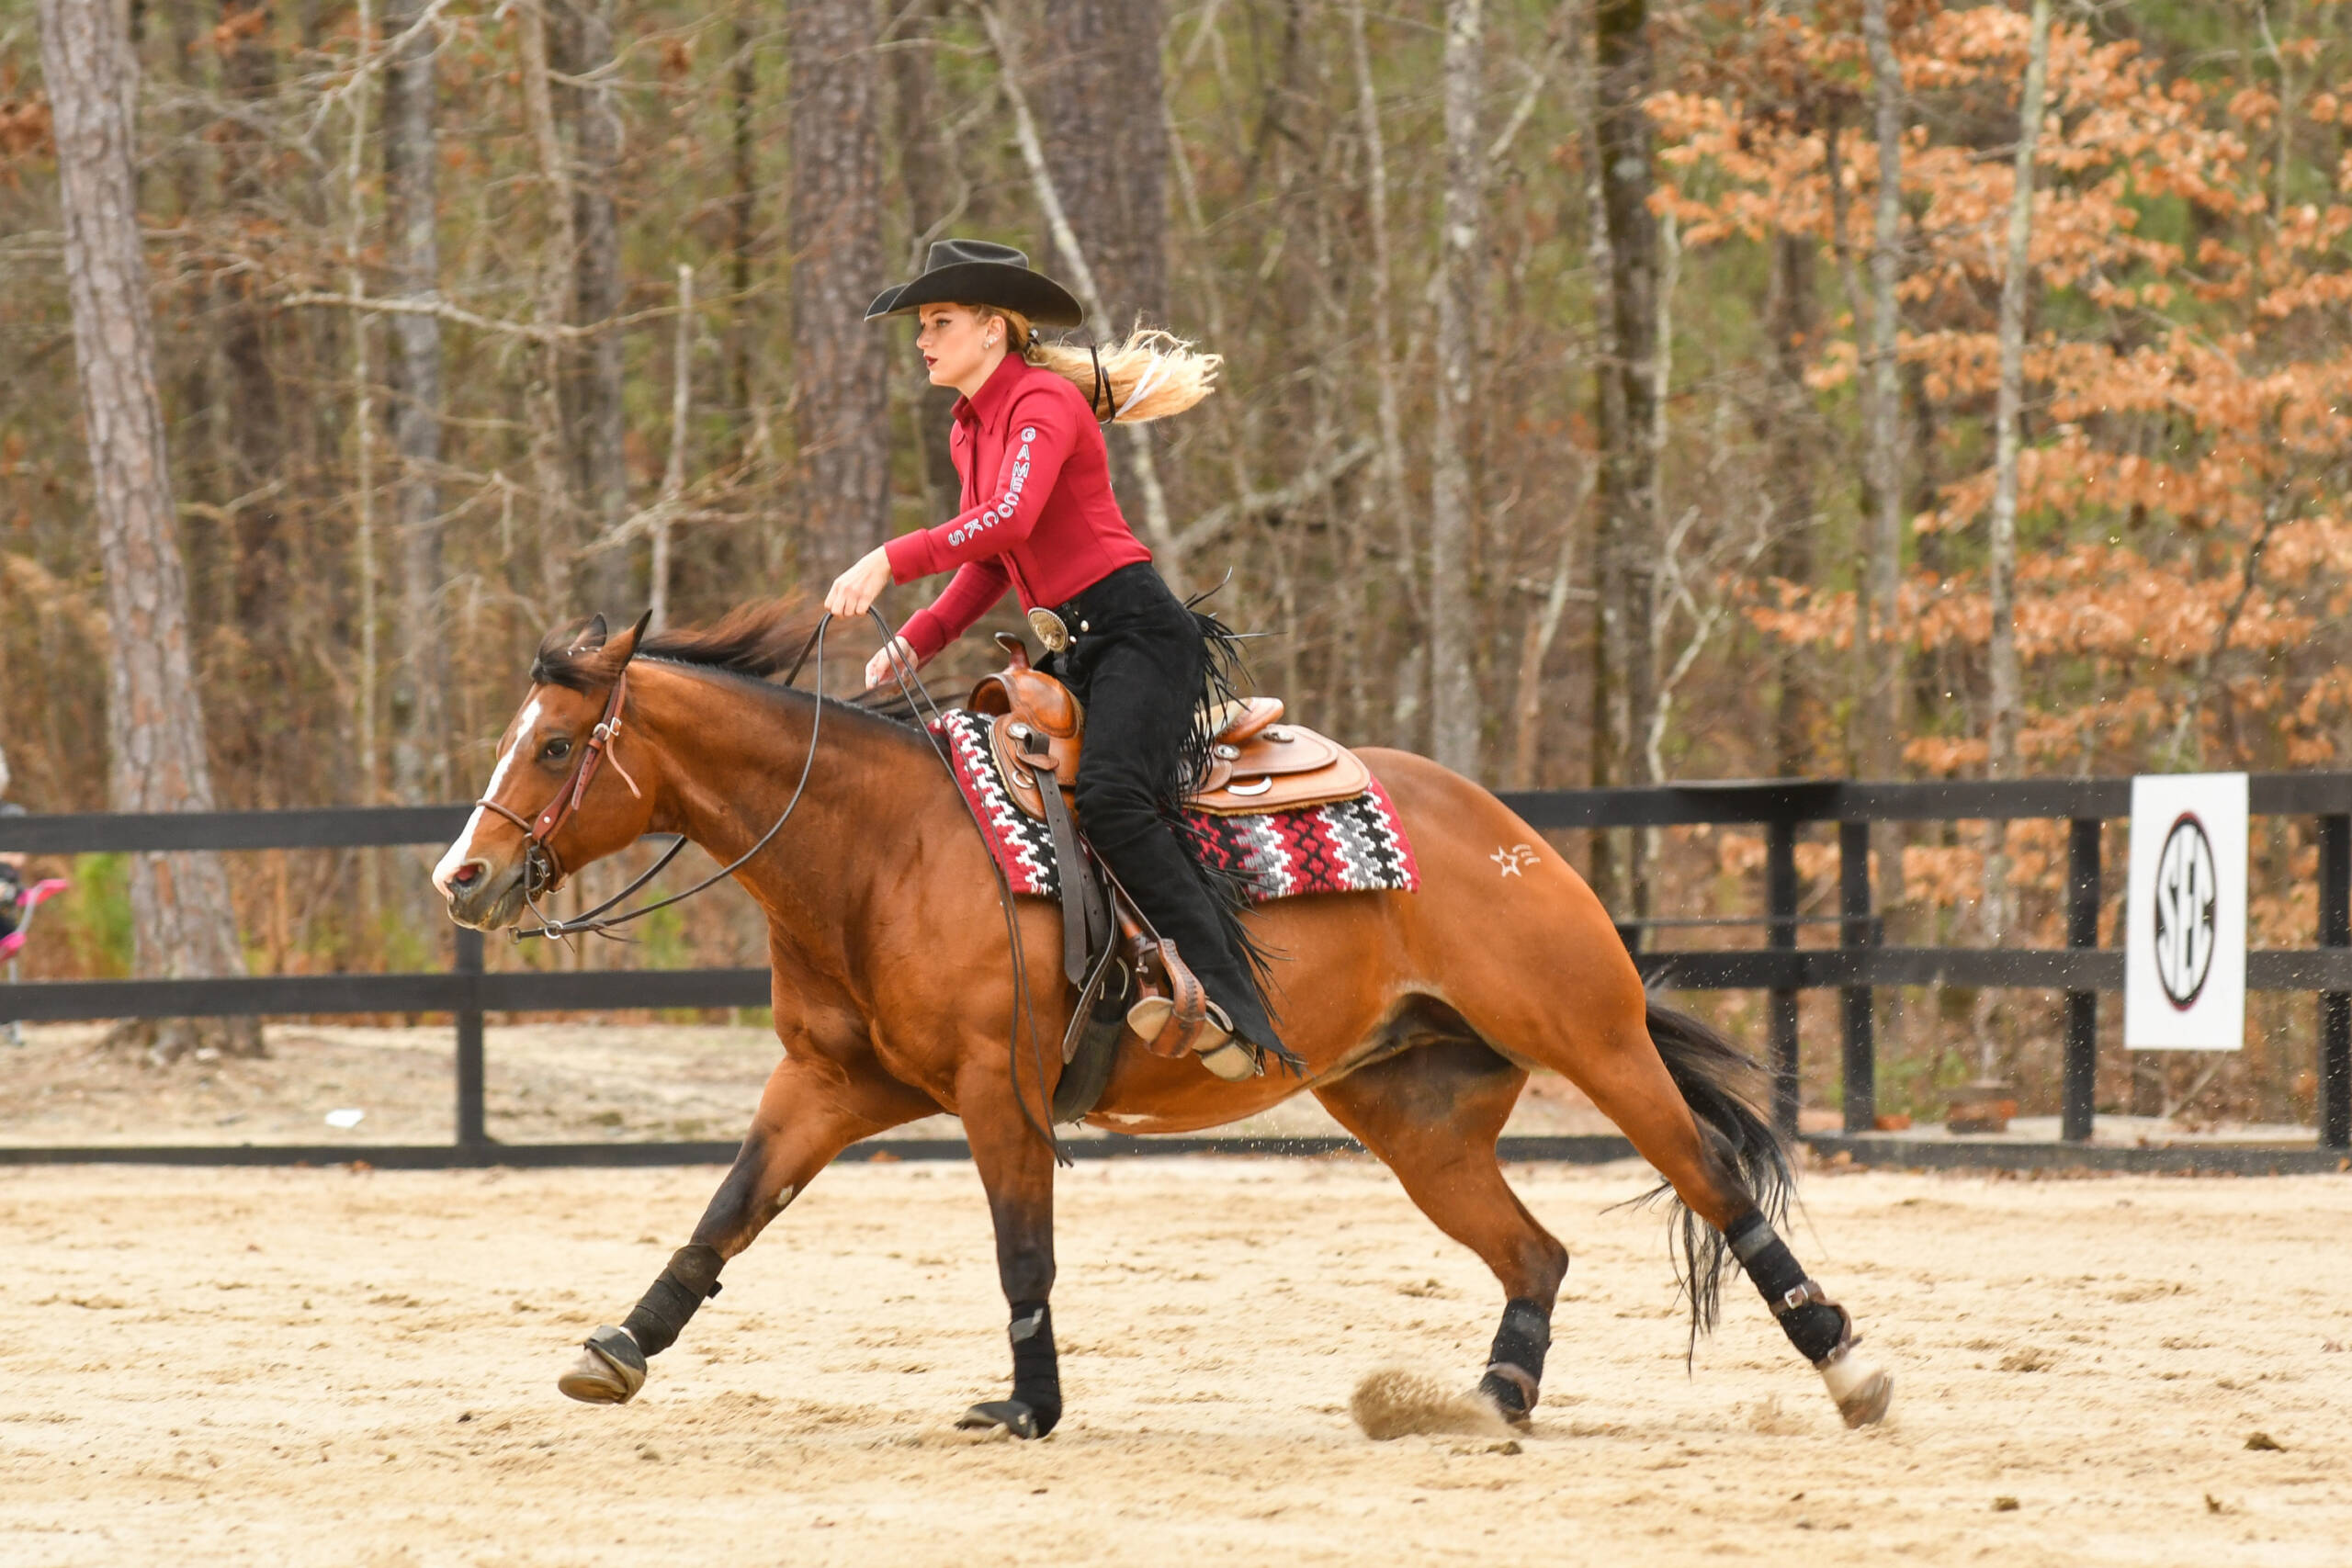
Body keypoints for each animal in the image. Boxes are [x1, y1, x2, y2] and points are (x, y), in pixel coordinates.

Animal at [427, 606, 1891, 1438]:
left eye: (554, 746)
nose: (463, 876)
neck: (879, 847)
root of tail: (1506, 828)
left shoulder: (997, 1093)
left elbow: (1022, 1253)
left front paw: (1028, 1405)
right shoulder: (825, 1085)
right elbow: (726, 1212)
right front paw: (617, 1348)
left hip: (1597, 1041)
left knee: (1716, 1189)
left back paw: (1845, 1366)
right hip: (1414, 1113)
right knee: (1535, 1251)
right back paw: (1491, 1398)